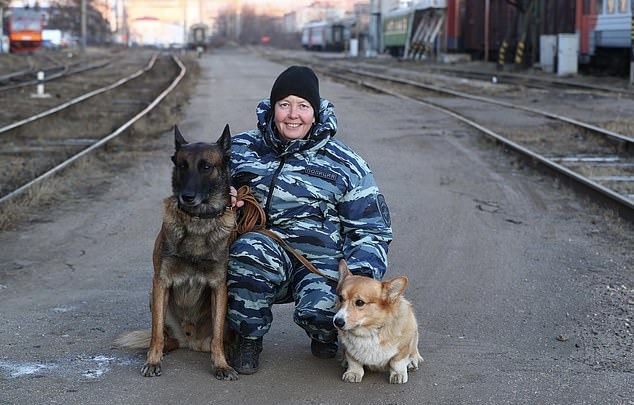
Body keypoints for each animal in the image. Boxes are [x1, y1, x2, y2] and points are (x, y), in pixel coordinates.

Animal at [115, 124, 238, 380]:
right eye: (182, 165)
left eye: (206, 166)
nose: (187, 196)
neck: (198, 221)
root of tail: (189, 341)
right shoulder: (161, 282)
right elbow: (156, 334)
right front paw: (153, 361)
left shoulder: (219, 286)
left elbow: (217, 337)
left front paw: (221, 365)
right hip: (153, 297)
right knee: (164, 336)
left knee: (218, 339)